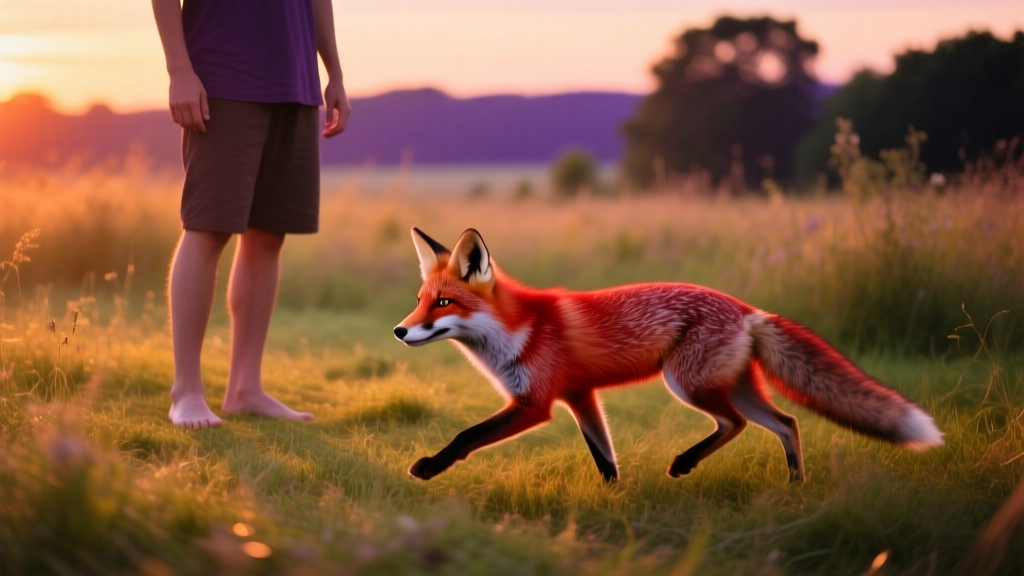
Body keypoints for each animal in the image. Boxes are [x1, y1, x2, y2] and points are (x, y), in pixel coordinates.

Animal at [393, 227, 943, 483]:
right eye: (420, 299)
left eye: (443, 304)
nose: (399, 330)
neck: (517, 331)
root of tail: (748, 309)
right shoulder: (581, 396)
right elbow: (605, 459)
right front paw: (615, 502)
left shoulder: (536, 403)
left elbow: (466, 435)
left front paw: (429, 468)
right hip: (735, 388)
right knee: (787, 423)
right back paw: (795, 487)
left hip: (688, 384)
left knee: (735, 425)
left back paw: (684, 464)